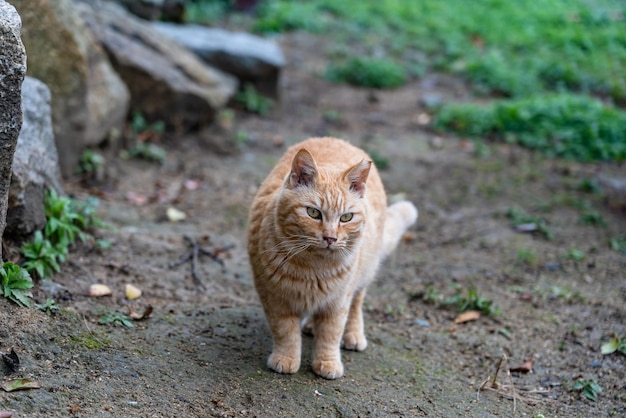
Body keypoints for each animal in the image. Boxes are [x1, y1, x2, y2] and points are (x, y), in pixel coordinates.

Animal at [246, 136, 416, 378]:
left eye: (346, 217)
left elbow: (331, 333)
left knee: (357, 303)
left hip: (365, 272)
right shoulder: (274, 298)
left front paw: (327, 362)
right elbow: (285, 331)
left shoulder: (338, 301)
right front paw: (286, 357)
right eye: (313, 213)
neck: (312, 269)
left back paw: (353, 334)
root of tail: (338, 139)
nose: (330, 238)